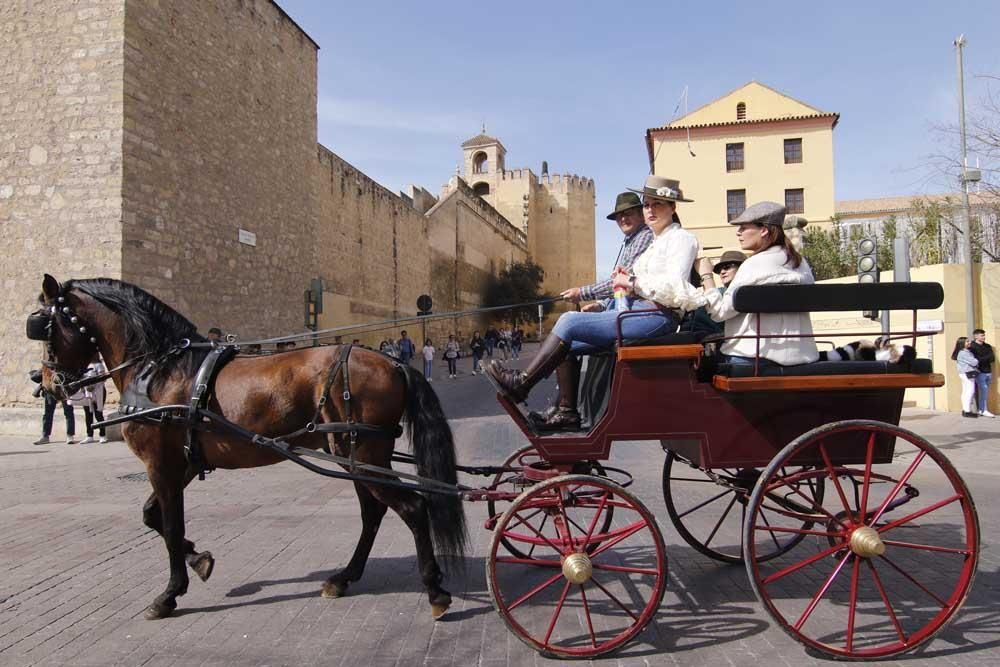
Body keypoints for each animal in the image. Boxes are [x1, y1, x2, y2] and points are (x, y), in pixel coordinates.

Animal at [29, 274, 466, 620]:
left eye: (45, 327)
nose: (44, 382)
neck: (162, 371)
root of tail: (394, 362)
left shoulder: (160, 464)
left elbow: (170, 526)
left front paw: (170, 593)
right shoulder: (184, 463)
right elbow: (153, 517)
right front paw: (199, 559)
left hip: (361, 454)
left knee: (412, 508)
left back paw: (435, 590)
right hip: (355, 454)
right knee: (374, 512)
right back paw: (344, 578)